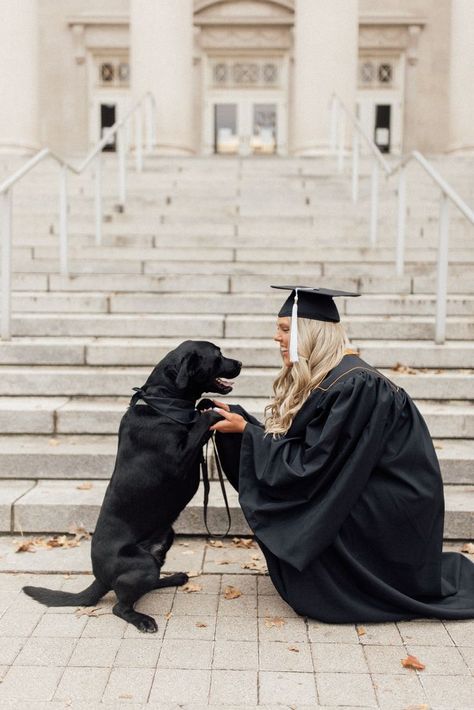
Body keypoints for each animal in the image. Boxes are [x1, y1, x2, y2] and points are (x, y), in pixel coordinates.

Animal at [22, 344, 241, 636]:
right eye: (217, 355)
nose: (240, 363)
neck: (165, 401)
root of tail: (100, 578)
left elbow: (200, 410)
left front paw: (206, 404)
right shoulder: (179, 458)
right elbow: (201, 421)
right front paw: (213, 412)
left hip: (163, 543)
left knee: (147, 585)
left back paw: (174, 578)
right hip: (142, 565)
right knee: (120, 607)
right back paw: (143, 619)